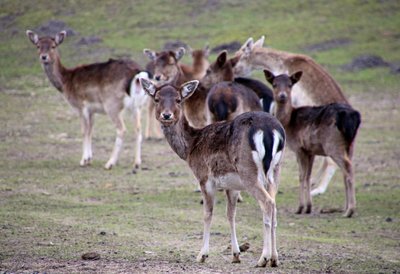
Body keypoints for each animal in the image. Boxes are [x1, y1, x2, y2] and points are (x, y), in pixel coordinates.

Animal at [26, 30, 148, 171]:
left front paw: (83, 160)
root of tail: (136, 74)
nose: (44, 57)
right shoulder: (92, 110)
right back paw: (137, 163)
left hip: (112, 105)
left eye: (53, 46)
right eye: (38, 46)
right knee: (138, 129)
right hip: (137, 106)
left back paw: (109, 163)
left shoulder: (81, 106)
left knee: (122, 129)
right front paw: (89, 159)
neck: (65, 82)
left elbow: (84, 130)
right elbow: (90, 130)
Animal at [140, 77, 284, 268]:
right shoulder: (232, 185)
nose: (166, 115)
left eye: (178, 99)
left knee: (267, 203)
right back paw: (274, 259)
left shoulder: (204, 178)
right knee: (274, 206)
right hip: (275, 171)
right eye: (157, 99)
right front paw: (236, 254)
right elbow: (230, 215)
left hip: (249, 171)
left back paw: (263, 258)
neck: (191, 147)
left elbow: (207, 214)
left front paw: (202, 255)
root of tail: (270, 131)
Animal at [264, 69, 360, 217]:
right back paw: (345, 208)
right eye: (274, 84)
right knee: (346, 170)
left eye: (290, 84)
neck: (288, 123)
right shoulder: (311, 151)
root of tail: (353, 118)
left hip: (333, 144)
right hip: (350, 144)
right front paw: (308, 207)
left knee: (348, 168)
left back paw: (349, 210)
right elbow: (308, 176)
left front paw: (300, 208)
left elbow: (301, 176)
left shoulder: (299, 148)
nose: (282, 96)